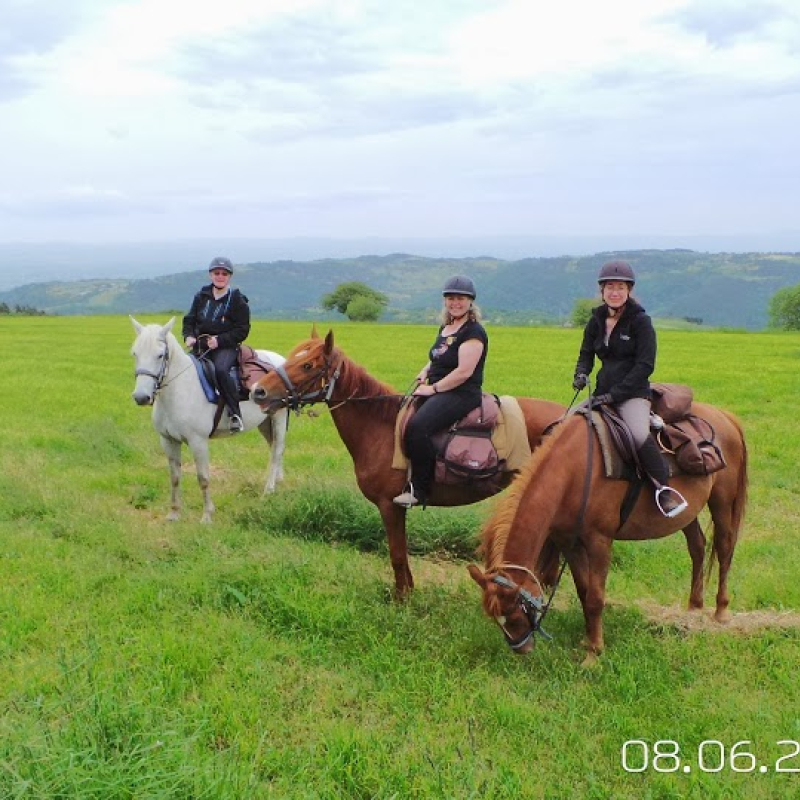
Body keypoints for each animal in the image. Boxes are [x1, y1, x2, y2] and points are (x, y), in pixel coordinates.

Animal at [131, 318, 290, 524]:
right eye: (135, 353)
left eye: (160, 355)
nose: (141, 397)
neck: (180, 389)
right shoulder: (168, 440)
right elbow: (174, 477)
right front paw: (174, 513)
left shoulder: (198, 441)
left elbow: (203, 478)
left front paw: (207, 516)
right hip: (265, 421)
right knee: (274, 448)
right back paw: (278, 481)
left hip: (279, 416)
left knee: (277, 450)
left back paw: (269, 490)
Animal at [253, 328, 564, 596]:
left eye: (307, 365)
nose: (258, 391)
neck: (380, 426)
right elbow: (400, 553)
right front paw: (408, 591)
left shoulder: (390, 505)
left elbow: (397, 554)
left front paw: (402, 598)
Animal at [468, 404, 752, 660]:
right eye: (495, 616)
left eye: (516, 610)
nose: (522, 649)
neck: (573, 471)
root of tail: (725, 416)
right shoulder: (569, 542)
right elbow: (584, 591)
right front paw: (587, 639)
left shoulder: (599, 541)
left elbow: (595, 597)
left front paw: (594, 653)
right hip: (687, 513)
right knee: (697, 546)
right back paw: (694, 606)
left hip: (722, 501)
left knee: (724, 548)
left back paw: (721, 611)